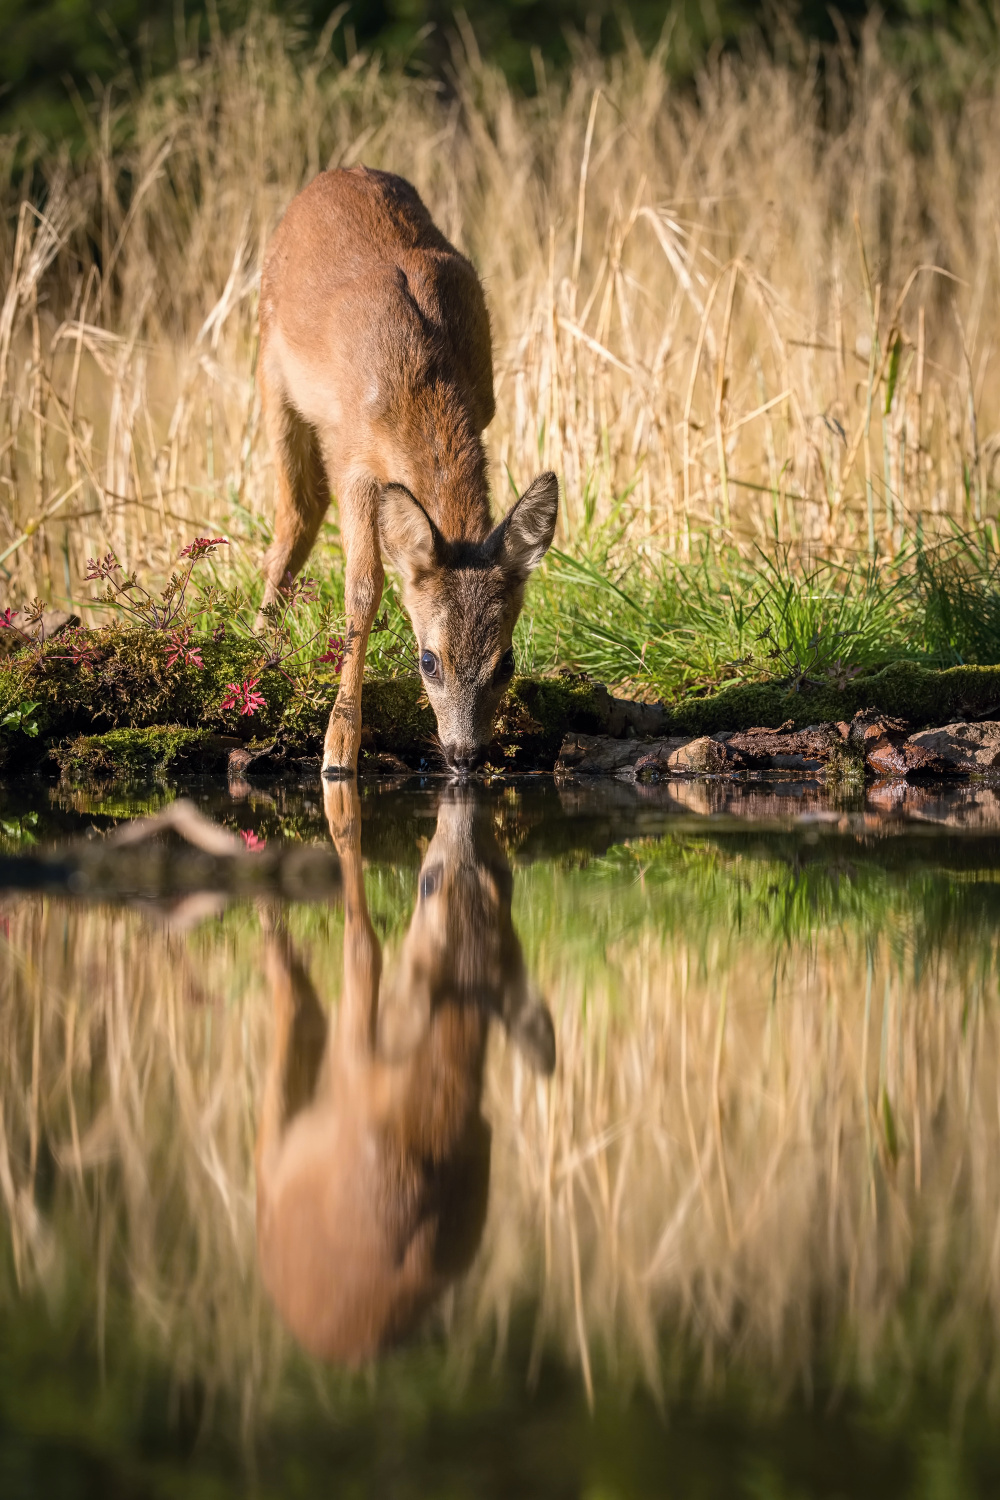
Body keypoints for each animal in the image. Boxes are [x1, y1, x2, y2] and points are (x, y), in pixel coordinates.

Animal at [254, 780, 554, 1368]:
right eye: (428, 880)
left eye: (503, 877)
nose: (463, 823)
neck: (425, 1119)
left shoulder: (354, 1064)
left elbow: (361, 947)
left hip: (276, 1161)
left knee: (298, 1018)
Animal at [256, 170, 563, 780]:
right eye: (428, 661)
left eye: (506, 662)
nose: (465, 756)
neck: (421, 381)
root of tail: (338, 172)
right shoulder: (351, 454)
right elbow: (363, 587)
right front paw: (338, 750)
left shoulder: (482, 411)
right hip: (271, 374)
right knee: (292, 519)